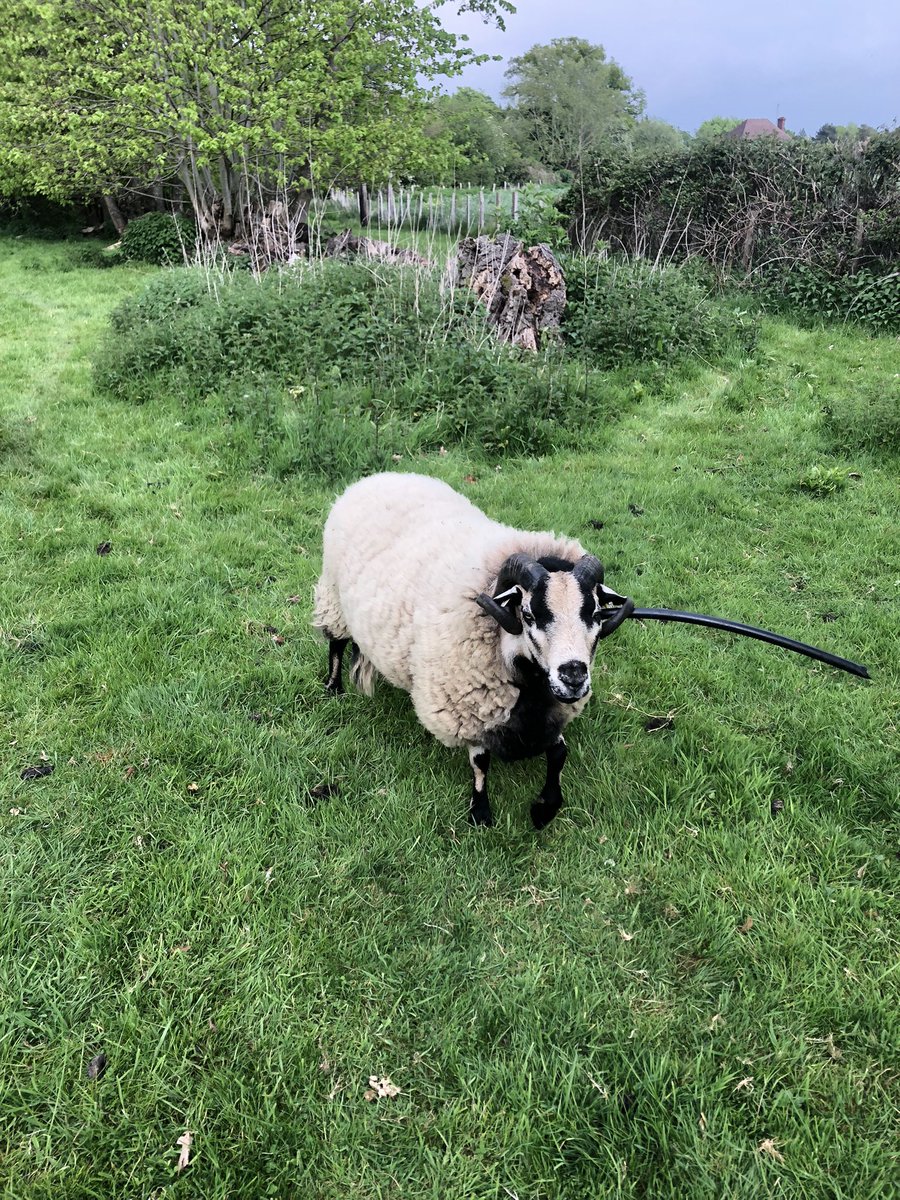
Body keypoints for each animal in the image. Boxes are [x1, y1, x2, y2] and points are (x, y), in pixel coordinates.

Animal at [312, 472, 632, 828]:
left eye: (595, 613)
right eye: (528, 614)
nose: (573, 676)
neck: (529, 684)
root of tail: (380, 476)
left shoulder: (552, 714)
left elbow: (559, 753)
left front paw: (545, 808)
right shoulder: (468, 712)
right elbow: (480, 763)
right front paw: (480, 813)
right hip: (333, 595)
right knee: (336, 641)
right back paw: (334, 687)